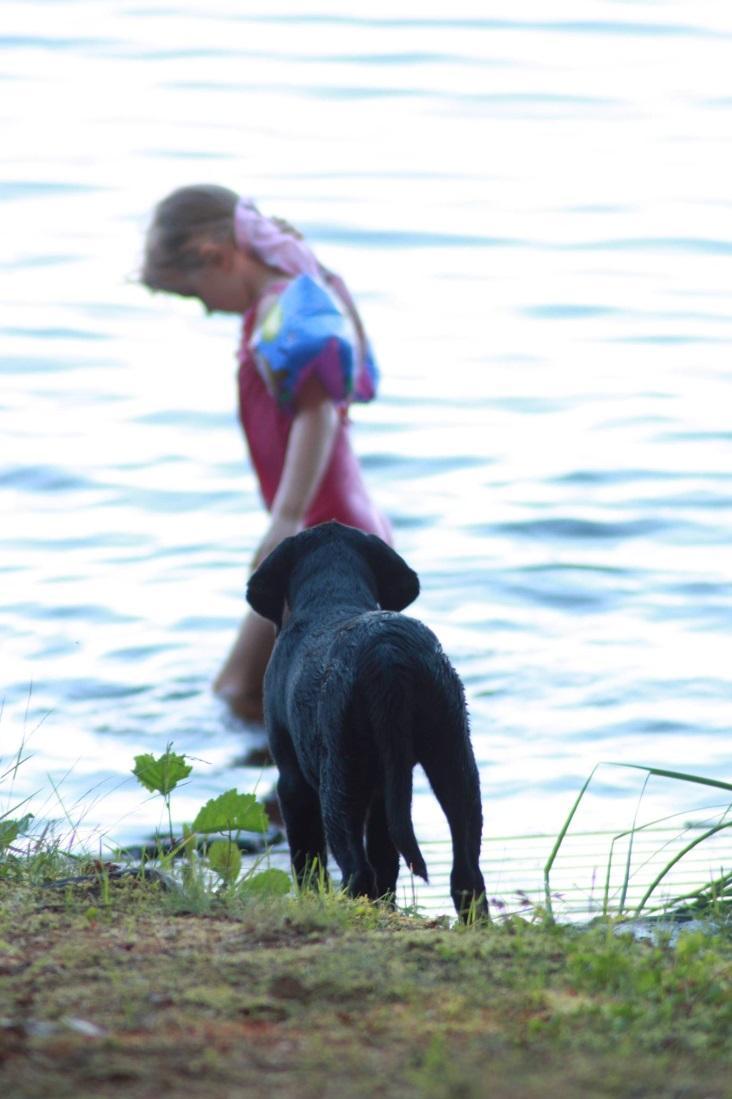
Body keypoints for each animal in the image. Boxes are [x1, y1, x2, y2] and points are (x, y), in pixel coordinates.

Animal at [243, 523, 483, 918]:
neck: (332, 596)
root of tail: (388, 657)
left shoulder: (291, 781)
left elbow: (307, 859)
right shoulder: (387, 789)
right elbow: (386, 856)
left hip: (339, 779)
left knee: (356, 869)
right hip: (453, 759)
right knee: (466, 873)